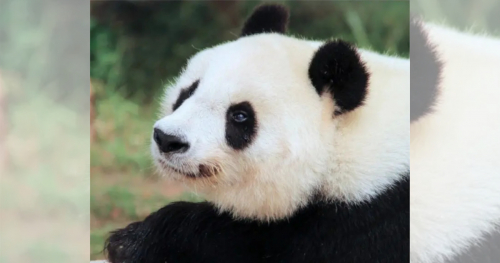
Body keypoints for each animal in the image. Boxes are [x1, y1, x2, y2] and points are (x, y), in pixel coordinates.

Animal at [102, 4, 410, 263]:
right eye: (187, 92)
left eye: (240, 116)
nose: (168, 139)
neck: (346, 136)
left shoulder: (376, 217)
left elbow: (257, 243)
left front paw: (133, 241)